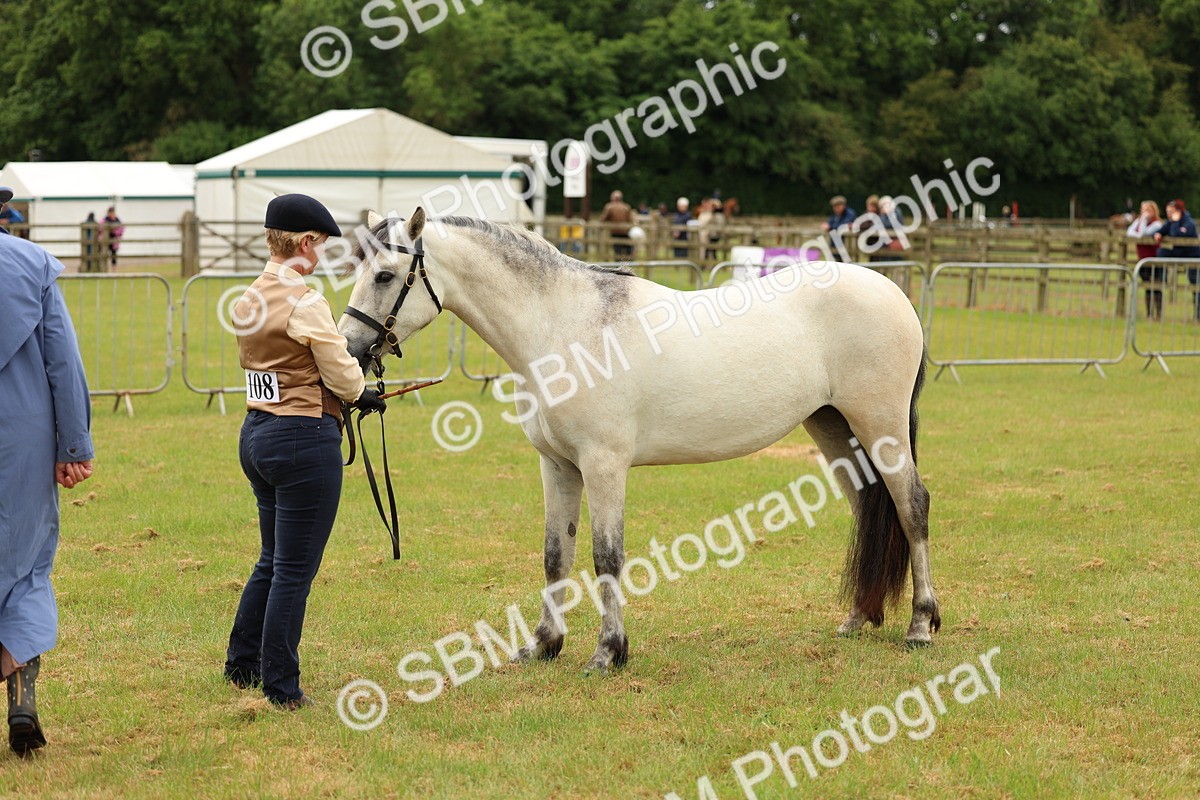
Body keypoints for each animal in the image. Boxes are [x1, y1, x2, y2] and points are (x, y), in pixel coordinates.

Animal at [337, 209, 939, 672]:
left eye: (386, 275)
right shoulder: (557, 466)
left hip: (880, 427)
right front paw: (543, 646)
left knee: (911, 506)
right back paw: (857, 618)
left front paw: (609, 652)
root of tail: (892, 292)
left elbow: (606, 556)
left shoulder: (604, 465)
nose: (348, 348)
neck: (565, 327)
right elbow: (556, 555)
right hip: (834, 427)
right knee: (869, 507)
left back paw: (920, 625)